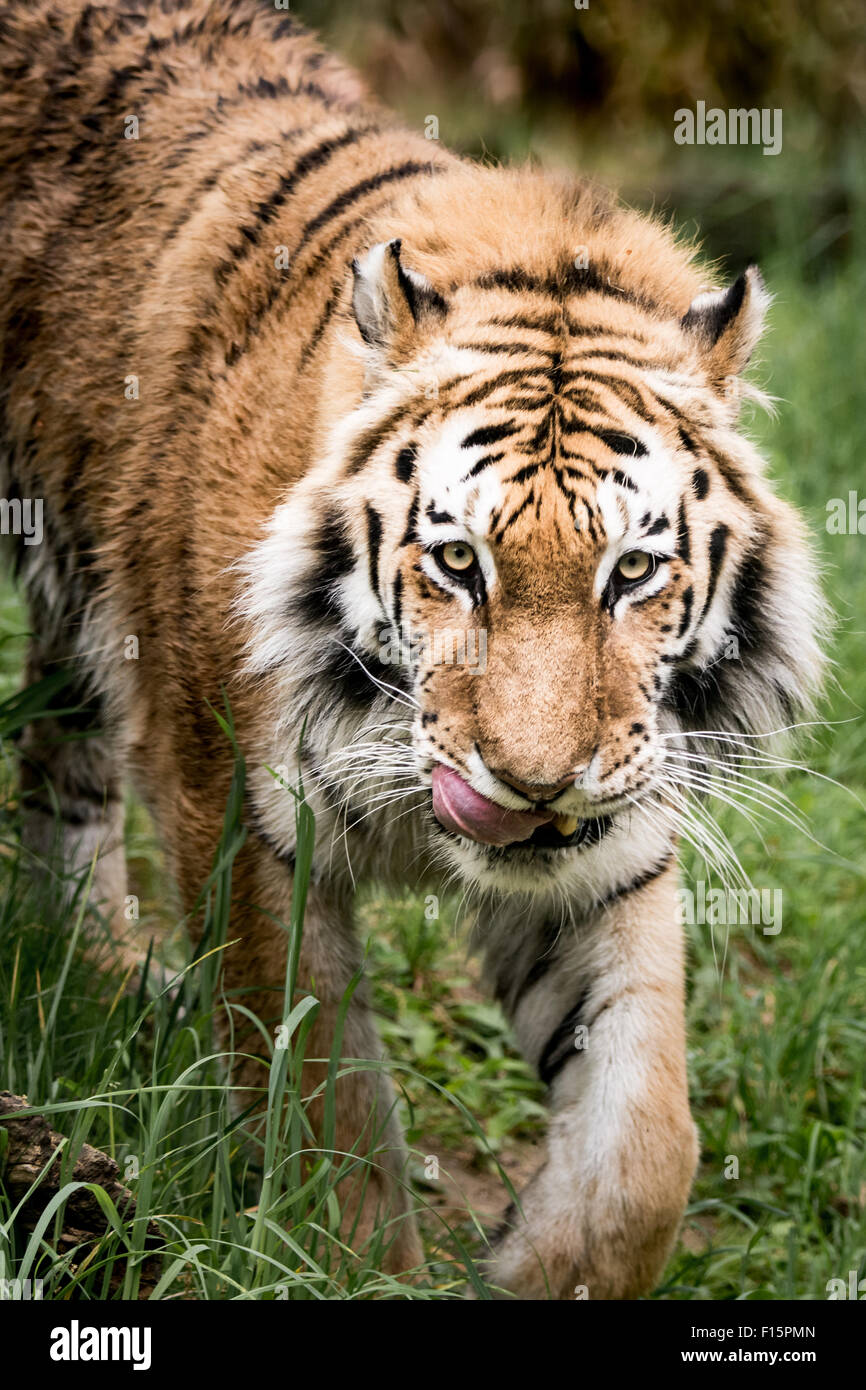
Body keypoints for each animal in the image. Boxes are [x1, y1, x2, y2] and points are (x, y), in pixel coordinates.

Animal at [0, 2, 828, 1301]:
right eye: (456, 562)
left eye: (630, 572)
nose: (529, 783)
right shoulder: (239, 808)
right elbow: (320, 1097)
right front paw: (353, 1266)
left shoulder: (611, 839)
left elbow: (646, 1144)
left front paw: (539, 1263)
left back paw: (100, 968)